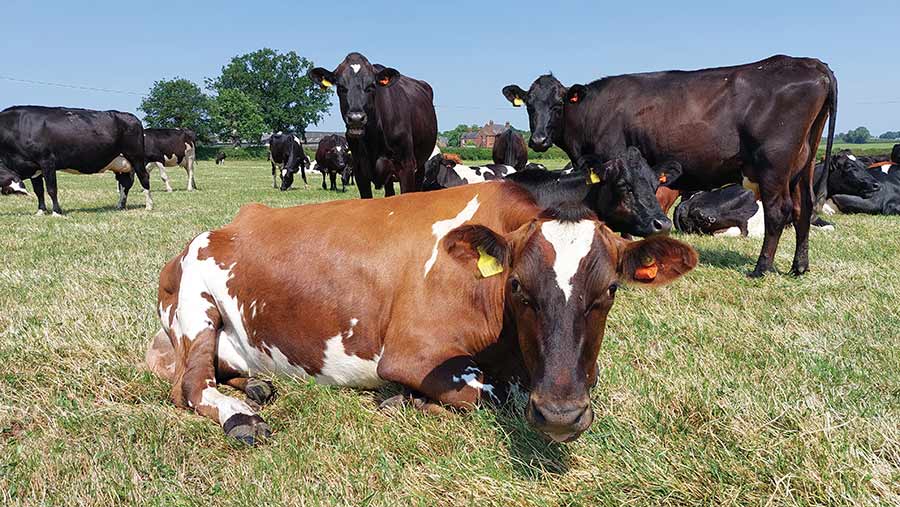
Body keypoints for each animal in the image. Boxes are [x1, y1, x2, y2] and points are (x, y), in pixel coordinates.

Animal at [0, 105, 153, 214]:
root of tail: (130, 116)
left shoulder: (47, 161)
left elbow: (51, 189)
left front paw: (56, 212)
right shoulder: (33, 167)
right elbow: (39, 191)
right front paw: (41, 211)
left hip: (136, 157)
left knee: (144, 177)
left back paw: (149, 206)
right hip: (121, 164)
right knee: (125, 183)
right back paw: (120, 205)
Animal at [146, 179, 696, 444]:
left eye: (610, 290)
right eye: (517, 285)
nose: (560, 415)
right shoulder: (410, 354)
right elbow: (490, 395)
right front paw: (400, 400)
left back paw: (257, 386)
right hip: (196, 311)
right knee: (190, 386)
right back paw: (241, 416)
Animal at [308, 52, 438, 198]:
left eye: (371, 86)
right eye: (340, 87)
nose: (356, 118)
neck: (373, 139)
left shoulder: (407, 166)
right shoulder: (359, 170)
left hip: (420, 165)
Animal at [502, 55, 840, 278]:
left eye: (558, 104)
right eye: (530, 105)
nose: (538, 139)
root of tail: (812, 63)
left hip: (773, 165)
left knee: (778, 211)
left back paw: (761, 268)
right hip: (803, 164)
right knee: (804, 208)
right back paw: (799, 267)